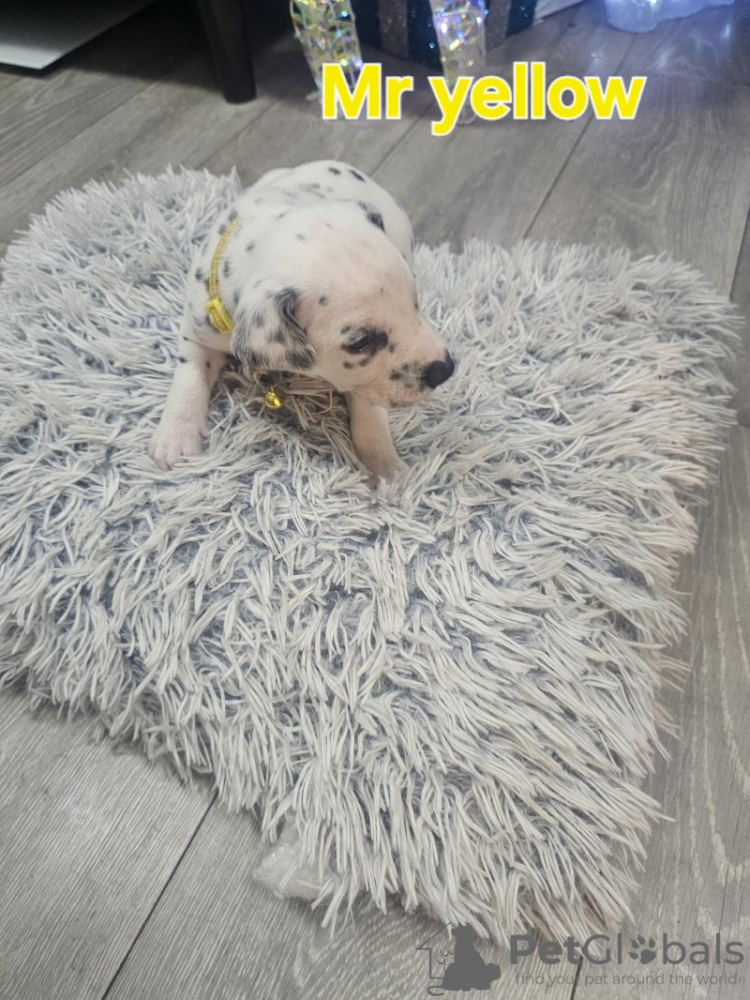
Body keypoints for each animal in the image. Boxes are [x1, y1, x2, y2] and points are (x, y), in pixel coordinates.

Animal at [148, 160, 455, 483]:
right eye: (361, 342)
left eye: (415, 302)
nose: (445, 369)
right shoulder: (198, 325)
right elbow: (190, 372)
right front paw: (175, 436)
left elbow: (369, 407)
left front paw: (385, 465)